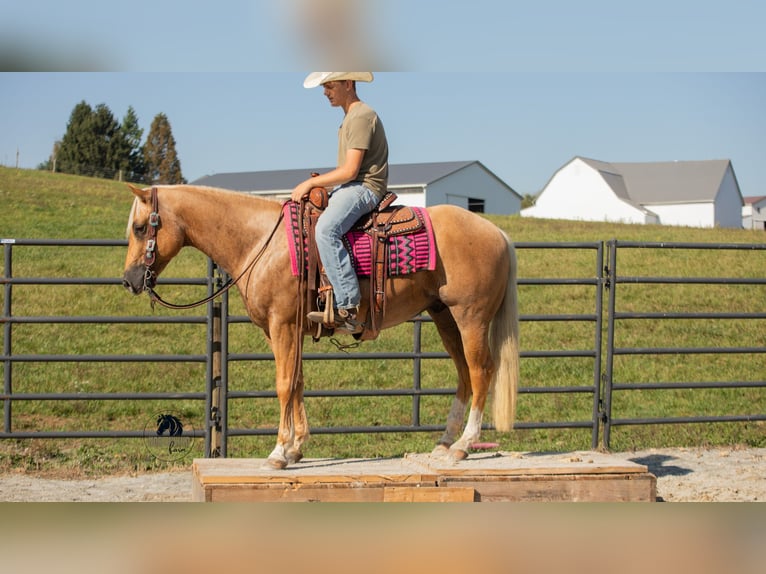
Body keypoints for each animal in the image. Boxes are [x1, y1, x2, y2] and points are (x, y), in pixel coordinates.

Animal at [123, 184, 519, 469]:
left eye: (141, 228)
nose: (129, 280)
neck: (261, 241)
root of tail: (498, 232)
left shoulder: (282, 325)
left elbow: (284, 384)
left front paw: (278, 452)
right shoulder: (286, 330)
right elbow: (297, 382)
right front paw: (296, 448)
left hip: (470, 317)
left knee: (481, 372)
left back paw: (464, 446)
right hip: (444, 316)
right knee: (465, 375)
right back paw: (444, 444)